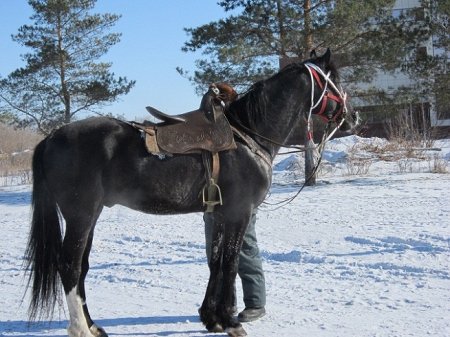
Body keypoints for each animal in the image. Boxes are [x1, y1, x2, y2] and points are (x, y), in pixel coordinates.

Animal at [27, 49, 358, 336]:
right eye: (335, 79)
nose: (353, 116)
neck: (247, 135)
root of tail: (52, 137)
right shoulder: (239, 213)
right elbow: (230, 263)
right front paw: (230, 321)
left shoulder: (219, 215)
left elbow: (215, 262)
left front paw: (212, 318)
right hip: (81, 216)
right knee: (70, 266)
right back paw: (81, 329)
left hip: (89, 216)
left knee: (80, 267)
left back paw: (93, 325)